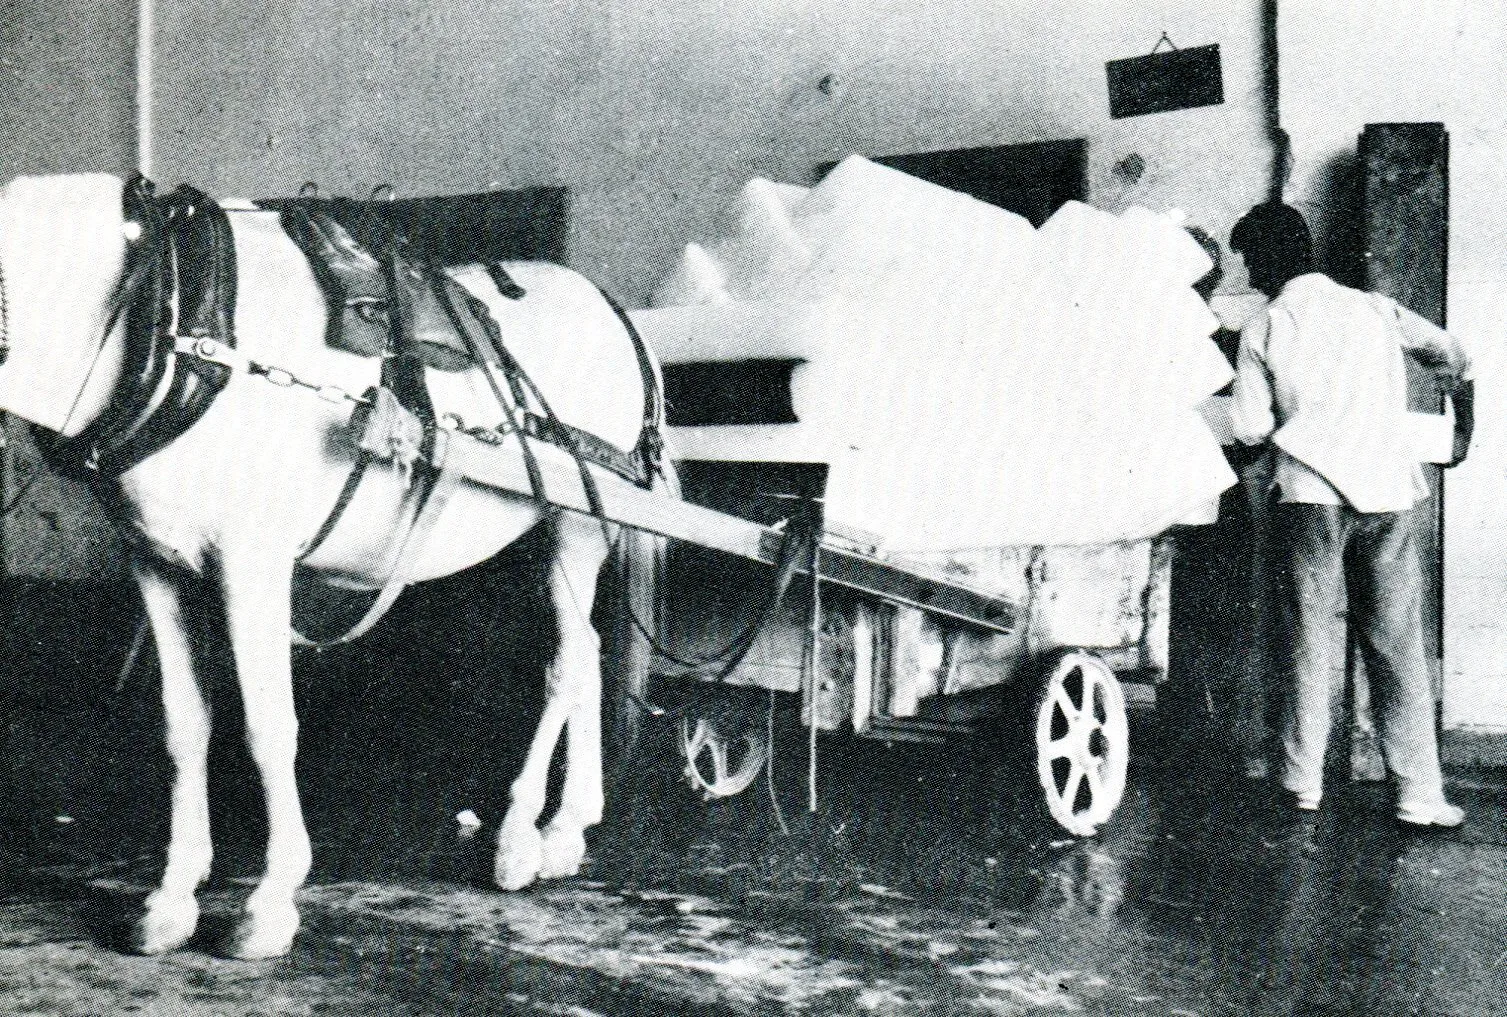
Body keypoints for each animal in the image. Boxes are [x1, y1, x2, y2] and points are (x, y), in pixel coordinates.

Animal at [0, 173, 667, 959]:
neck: (172, 321)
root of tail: (615, 312)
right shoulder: (158, 565)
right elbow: (184, 726)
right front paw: (170, 900)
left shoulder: (251, 563)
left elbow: (267, 726)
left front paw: (269, 903)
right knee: (587, 651)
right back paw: (566, 830)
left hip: (576, 526)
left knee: (564, 663)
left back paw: (518, 839)